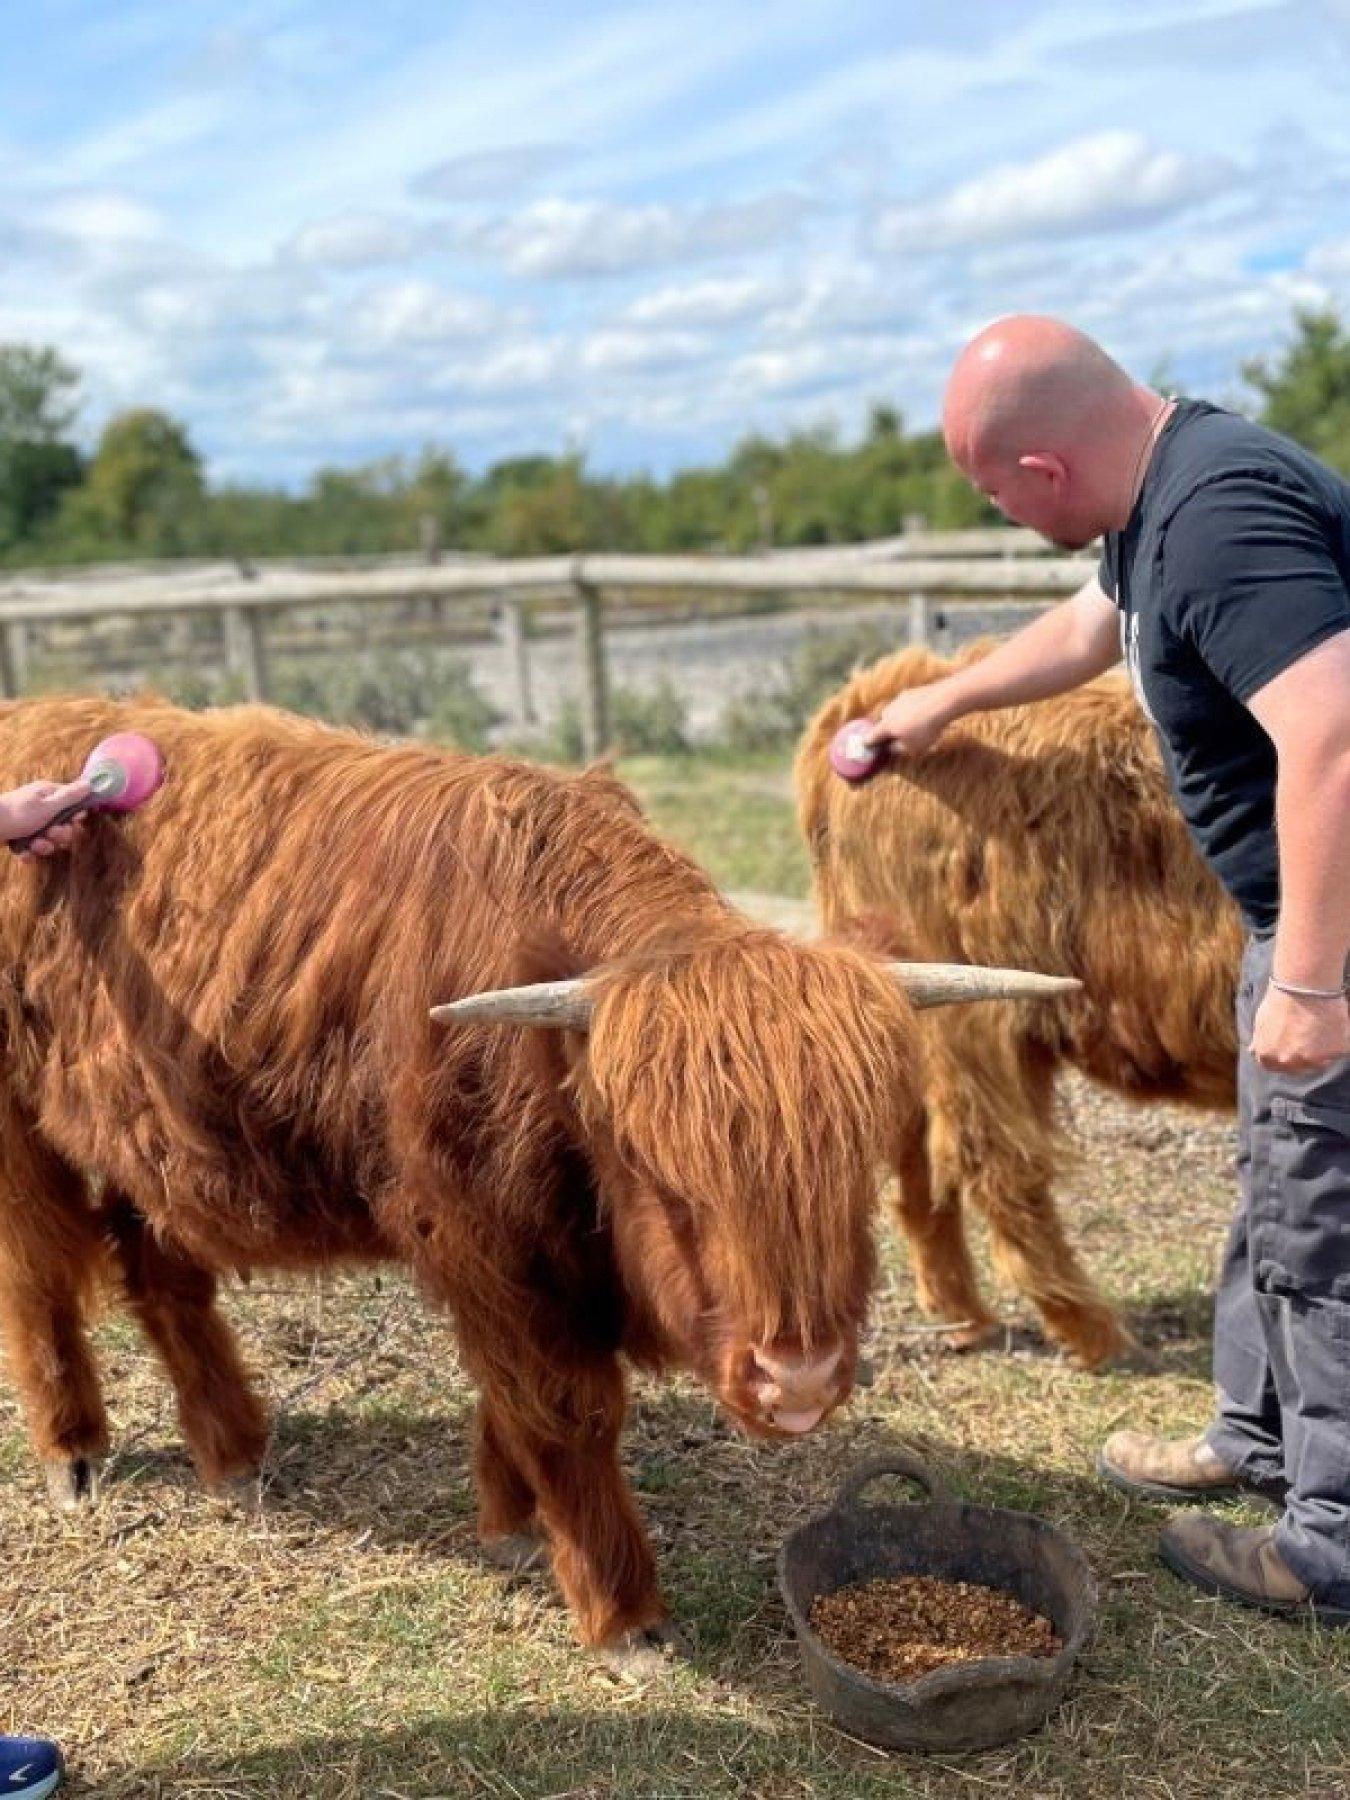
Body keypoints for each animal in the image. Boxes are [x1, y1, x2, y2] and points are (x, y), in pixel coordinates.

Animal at [0, 694, 1064, 1670]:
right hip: (17, 1130)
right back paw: (75, 1455)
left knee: (162, 1275)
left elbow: (507, 1395)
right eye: (666, 1178)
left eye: (850, 1171)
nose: (798, 1380)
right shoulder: (480, 1233)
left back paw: (233, 1458)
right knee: (38, 1276)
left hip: (146, 1133)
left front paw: (510, 1523)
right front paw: (621, 1610)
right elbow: (562, 1405)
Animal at [796, 643, 1243, 1371]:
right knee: (999, 1168)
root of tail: (872, 698)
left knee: (918, 1164)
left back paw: (965, 1319)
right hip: (981, 1014)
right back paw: (1094, 1334)